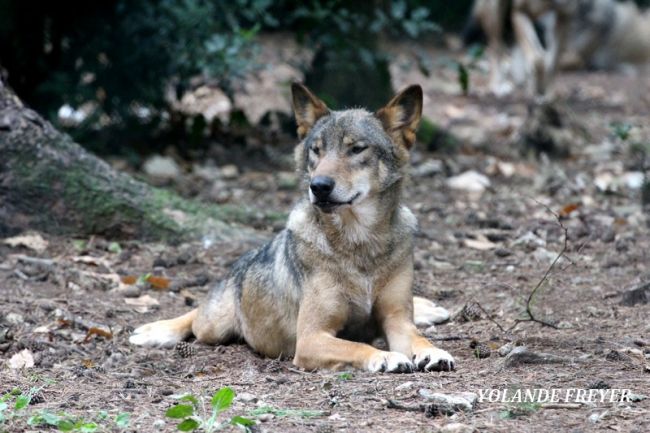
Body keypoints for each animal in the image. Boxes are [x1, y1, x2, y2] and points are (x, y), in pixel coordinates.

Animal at [129, 83, 454, 372]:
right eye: (316, 151)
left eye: (357, 149)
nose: (319, 186)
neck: (360, 243)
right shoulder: (310, 338)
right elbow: (358, 346)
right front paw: (385, 357)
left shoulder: (397, 320)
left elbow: (417, 338)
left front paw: (433, 351)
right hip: (214, 325)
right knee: (196, 315)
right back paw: (155, 331)